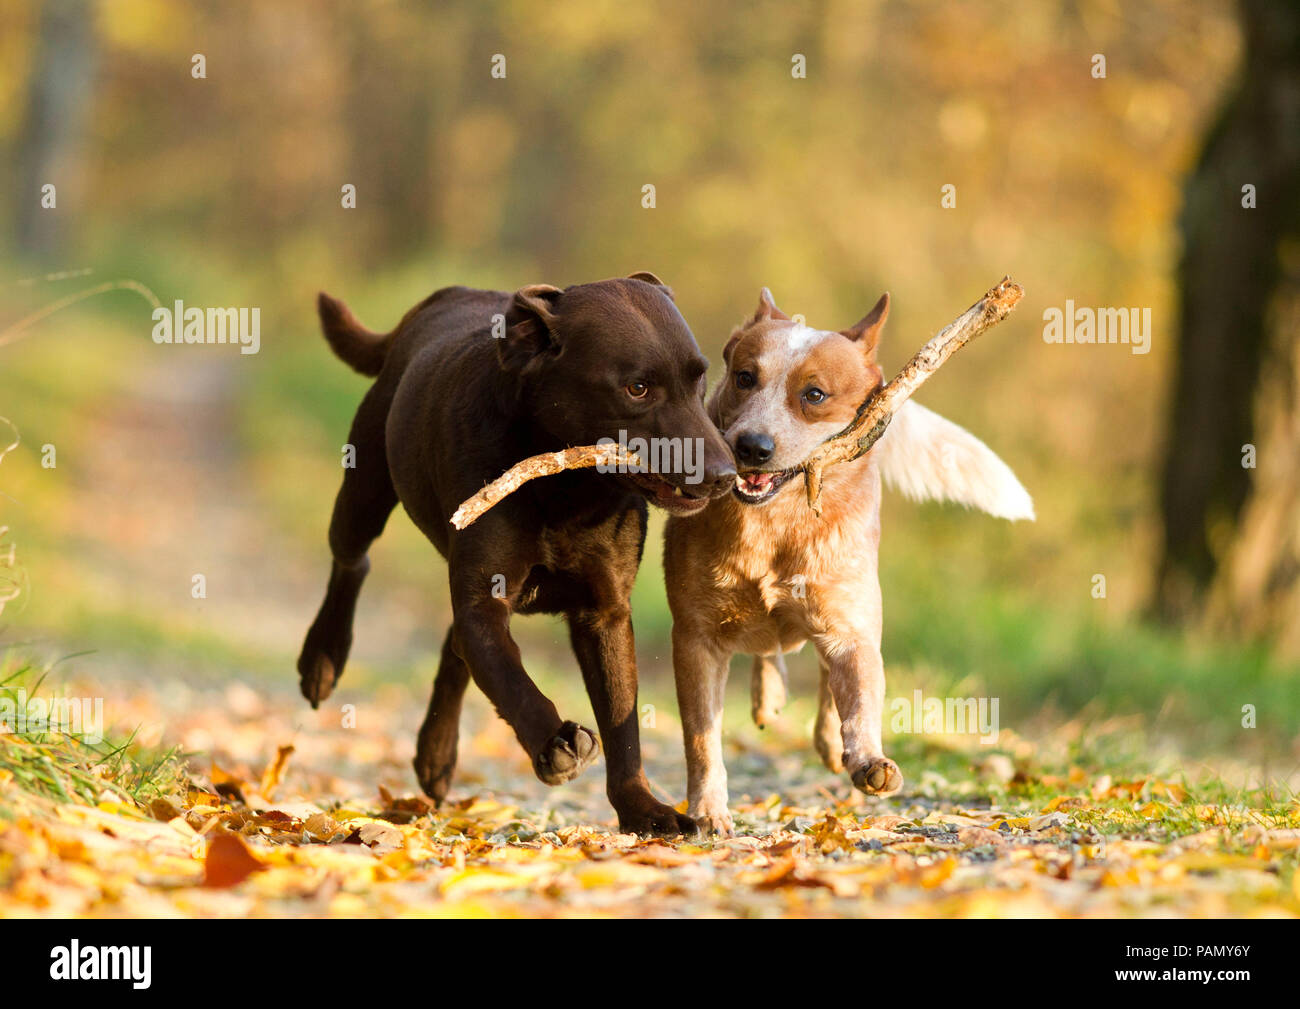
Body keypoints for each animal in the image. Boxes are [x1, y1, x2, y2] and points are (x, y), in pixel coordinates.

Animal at [297, 271, 738, 832]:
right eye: (637, 388)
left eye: (699, 380)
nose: (727, 475)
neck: (565, 491)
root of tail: (438, 301)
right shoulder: (484, 600)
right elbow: (511, 680)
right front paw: (554, 744)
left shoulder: (605, 612)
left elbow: (623, 726)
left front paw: (645, 811)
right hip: (364, 491)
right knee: (352, 563)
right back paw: (322, 661)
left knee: (454, 649)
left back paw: (435, 756)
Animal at [665, 286, 1029, 837]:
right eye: (745, 377)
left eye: (814, 395)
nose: (750, 446)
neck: (775, 525)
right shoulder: (695, 637)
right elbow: (702, 738)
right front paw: (708, 811)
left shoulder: (849, 628)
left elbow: (859, 698)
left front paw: (867, 759)